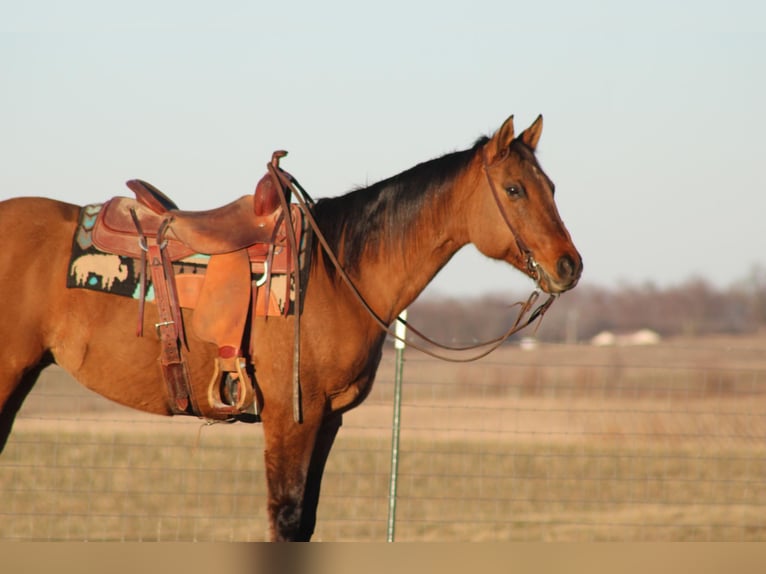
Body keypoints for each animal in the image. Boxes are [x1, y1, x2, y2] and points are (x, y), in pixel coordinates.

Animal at [0, 115, 584, 544]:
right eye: (514, 189)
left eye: (552, 186)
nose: (569, 266)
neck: (337, 273)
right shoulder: (290, 418)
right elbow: (286, 517)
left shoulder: (328, 421)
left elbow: (305, 522)